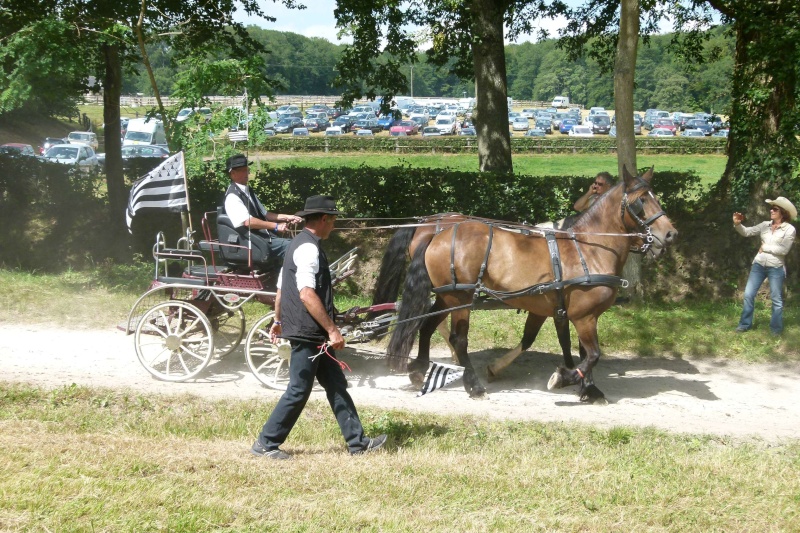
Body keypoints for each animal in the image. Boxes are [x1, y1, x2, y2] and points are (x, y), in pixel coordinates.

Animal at [388, 166, 676, 400]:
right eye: (641, 201)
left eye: (656, 197)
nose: (670, 234)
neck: (589, 249)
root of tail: (437, 232)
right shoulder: (583, 315)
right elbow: (592, 354)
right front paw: (566, 378)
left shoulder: (560, 310)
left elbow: (571, 348)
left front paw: (588, 389)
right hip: (461, 298)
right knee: (458, 339)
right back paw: (473, 386)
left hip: (447, 296)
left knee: (426, 326)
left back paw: (419, 369)